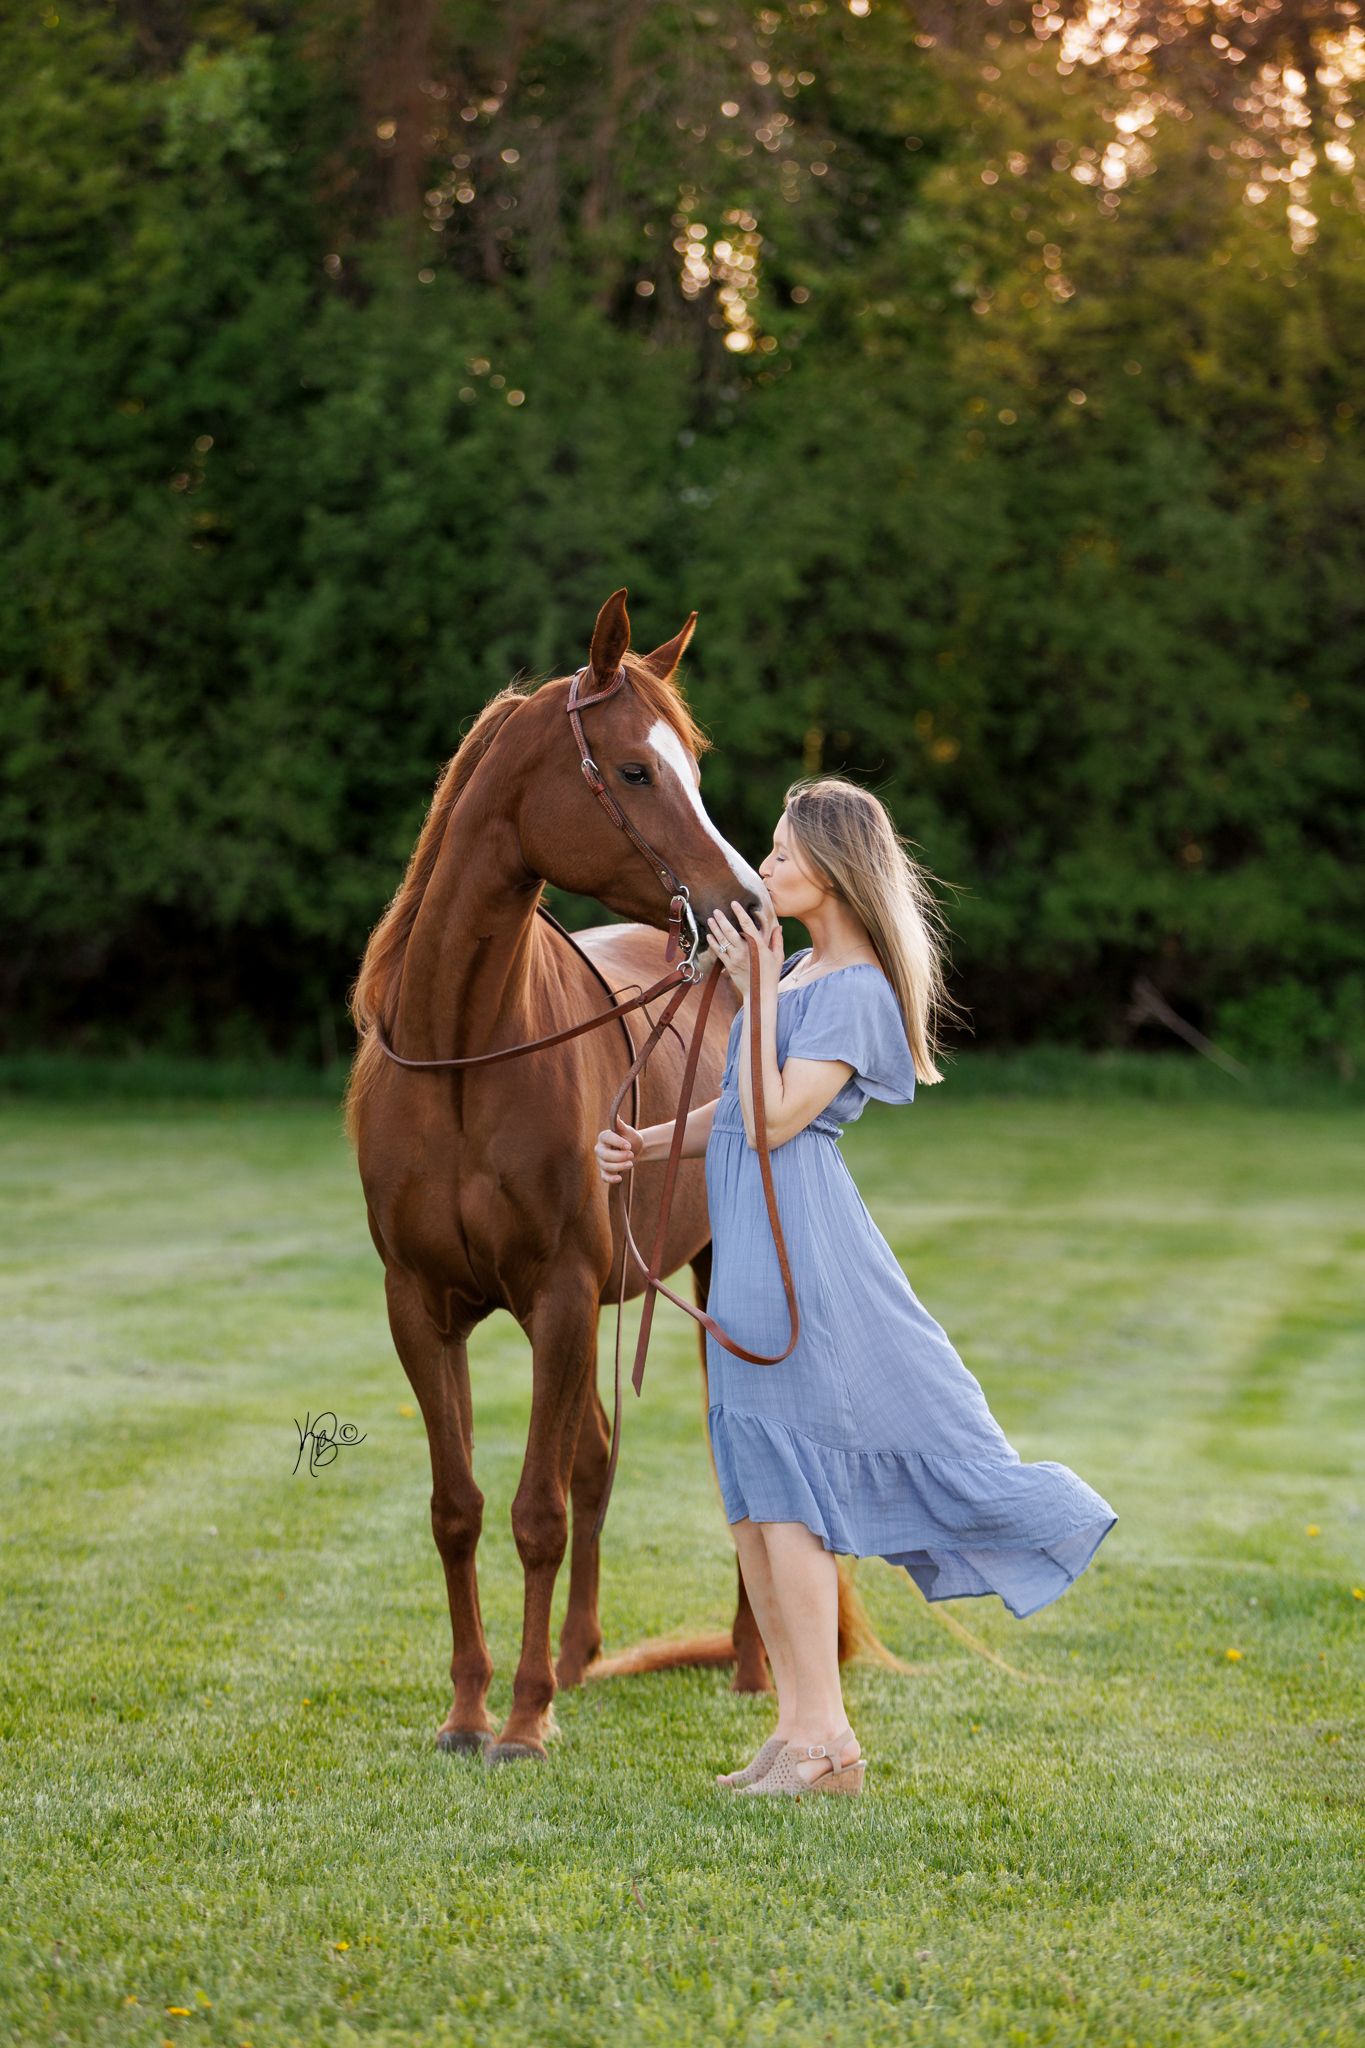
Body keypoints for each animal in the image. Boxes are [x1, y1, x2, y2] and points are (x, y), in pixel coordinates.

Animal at [344, 589, 884, 1762]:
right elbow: (460, 1506)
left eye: (690, 762)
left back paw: (750, 1667)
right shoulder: (423, 1305)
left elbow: (535, 1512)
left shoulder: (555, 1297)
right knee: (594, 1456)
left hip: (715, 1289)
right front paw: (470, 1710)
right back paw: (582, 1657)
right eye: (636, 771)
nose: (747, 912)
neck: (465, 1053)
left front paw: (523, 1721)